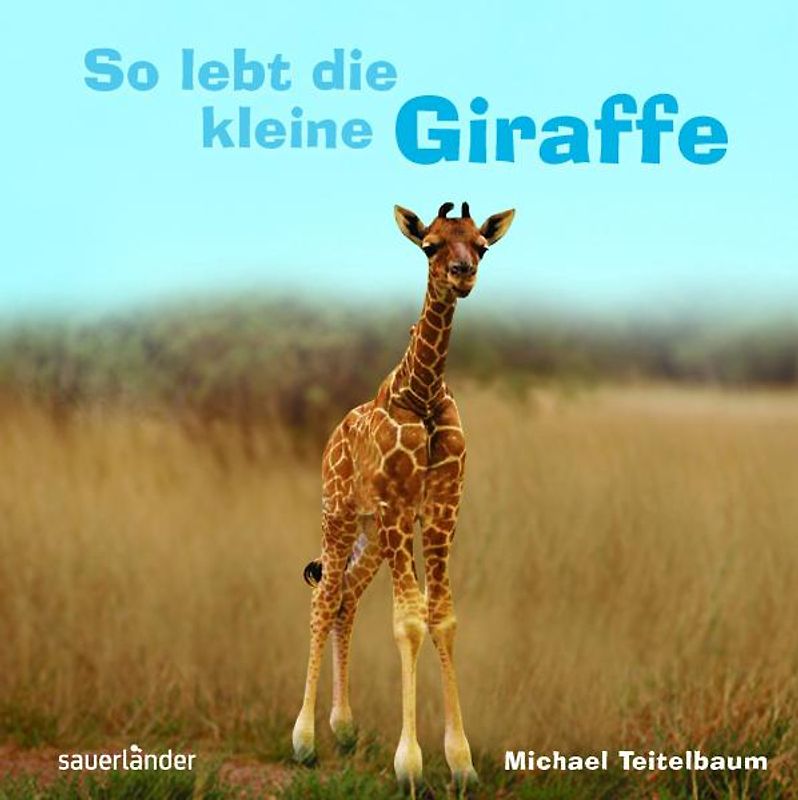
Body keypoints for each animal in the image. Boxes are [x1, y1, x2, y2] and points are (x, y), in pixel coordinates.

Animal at [292, 201, 515, 795]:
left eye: (481, 246)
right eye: (429, 245)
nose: (464, 274)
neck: (424, 393)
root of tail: (332, 437)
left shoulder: (440, 508)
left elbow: (443, 617)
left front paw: (462, 764)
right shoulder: (398, 505)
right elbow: (409, 621)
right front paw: (409, 765)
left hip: (372, 533)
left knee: (346, 596)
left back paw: (345, 730)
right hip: (341, 512)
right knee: (324, 597)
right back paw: (304, 741)